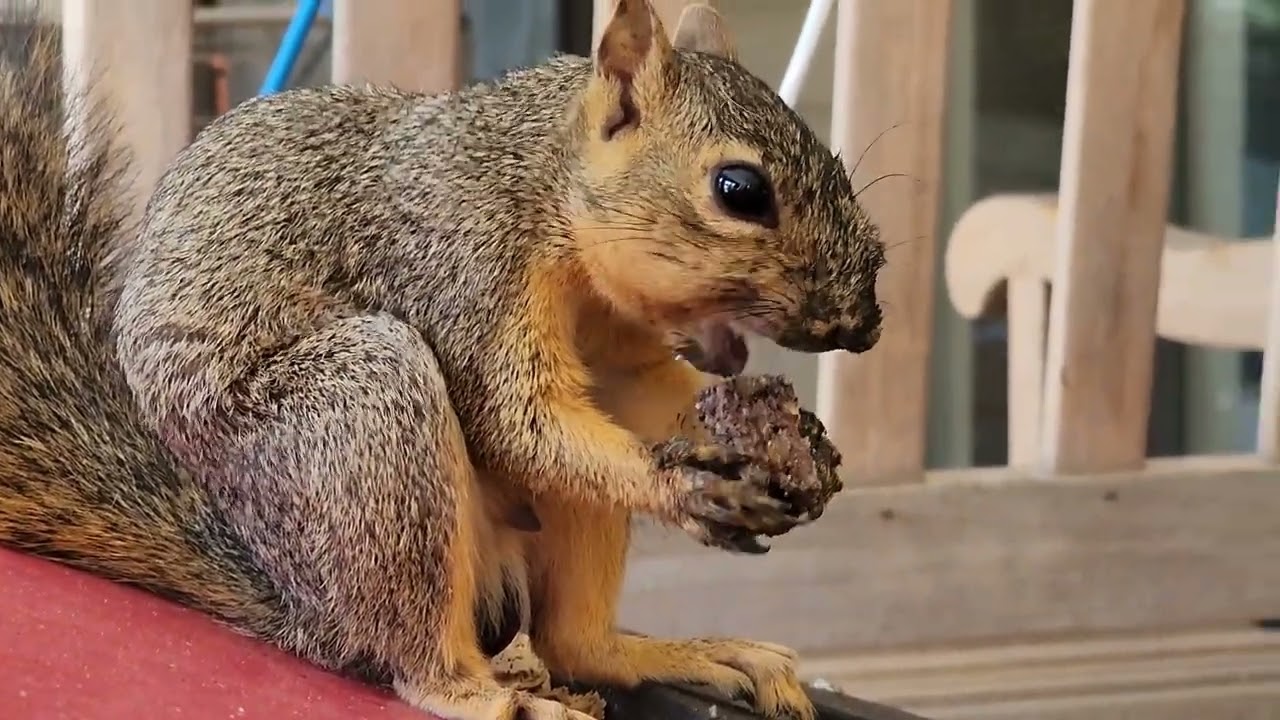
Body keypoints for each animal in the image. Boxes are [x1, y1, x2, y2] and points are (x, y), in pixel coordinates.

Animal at [0, 1, 884, 719]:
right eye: (739, 189)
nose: (866, 324)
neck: (546, 188)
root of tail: (298, 606)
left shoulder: (619, 350)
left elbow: (633, 392)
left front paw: (798, 444)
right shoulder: (462, 263)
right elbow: (516, 420)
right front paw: (684, 485)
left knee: (574, 643)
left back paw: (684, 655)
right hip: (364, 422)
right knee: (414, 654)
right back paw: (486, 694)